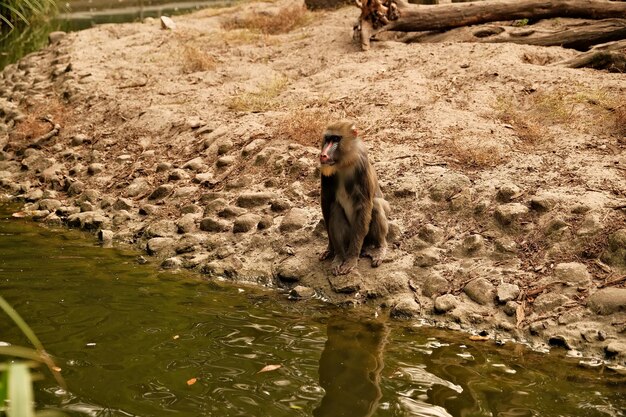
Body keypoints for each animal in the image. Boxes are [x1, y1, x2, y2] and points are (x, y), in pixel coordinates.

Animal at [320, 119, 388, 276]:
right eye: (327, 139)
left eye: (336, 139)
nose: (323, 155)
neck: (344, 163)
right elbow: (327, 203)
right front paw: (330, 249)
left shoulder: (361, 165)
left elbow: (364, 204)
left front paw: (351, 259)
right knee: (335, 209)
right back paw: (339, 257)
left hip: (366, 237)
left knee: (376, 205)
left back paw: (379, 248)